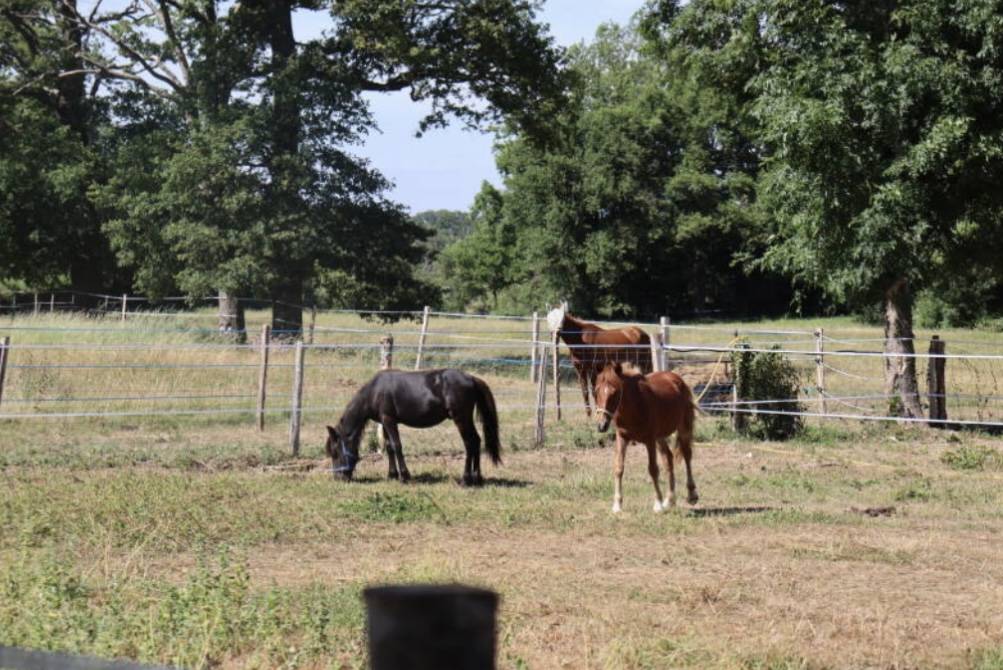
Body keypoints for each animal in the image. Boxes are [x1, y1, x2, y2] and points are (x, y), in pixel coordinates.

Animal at [325, 368, 501, 485]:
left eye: (335, 452)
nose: (338, 478)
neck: (374, 391)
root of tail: (471, 378)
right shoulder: (384, 421)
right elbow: (389, 447)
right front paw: (392, 475)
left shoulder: (389, 420)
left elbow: (397, 446)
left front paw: (405, 476)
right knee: (477, 441)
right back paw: (477, 478)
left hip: (461, 419)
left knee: (470, 443)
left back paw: (465, 480)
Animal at [594, 362, 699, 513]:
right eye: (596, 392)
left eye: (615, 392)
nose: (602, 425)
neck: (635, 406)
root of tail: (677, 379)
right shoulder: (622, 438)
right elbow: (619, 468)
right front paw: (617, 505)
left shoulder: (649, 440)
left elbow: (653, 469)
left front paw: (658, 504)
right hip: (660, 437)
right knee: (668, 459)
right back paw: (670, 500)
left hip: (683, 427)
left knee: (687, 455)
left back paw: (692, 495)